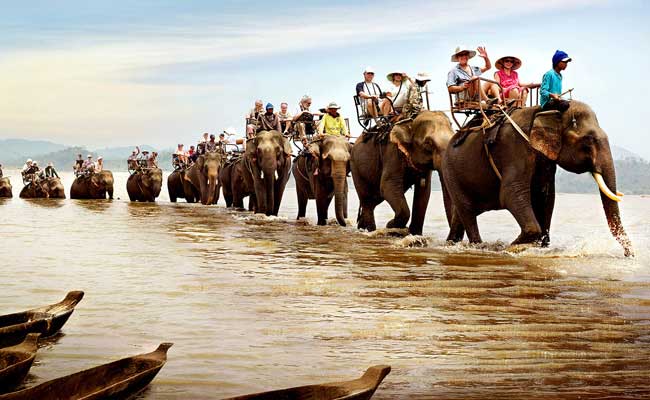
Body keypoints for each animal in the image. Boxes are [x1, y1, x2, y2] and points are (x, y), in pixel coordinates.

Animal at [442, 100, 632, 256]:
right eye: (588, 141)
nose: (629, 255)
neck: (546, 111)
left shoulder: (546, 159)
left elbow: (546, 196)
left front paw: (540, 245)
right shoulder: (514, 148)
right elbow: (510, 193)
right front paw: (512, 247)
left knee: (461, 214)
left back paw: (451, 243)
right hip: (450, 171)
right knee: (467, 211)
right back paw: (478, 246)